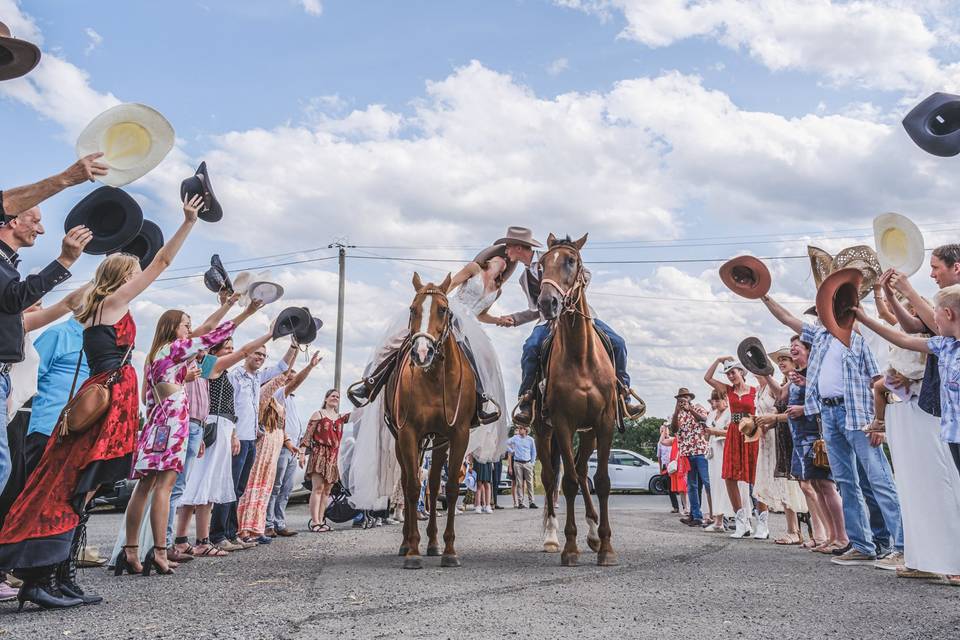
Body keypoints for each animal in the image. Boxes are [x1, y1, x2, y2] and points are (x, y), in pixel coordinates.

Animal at [388, 272, 478, 568]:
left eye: (443, 309)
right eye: (413, 309)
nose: (422, 353)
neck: (434, 378)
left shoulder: (458, 435)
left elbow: (449, 488)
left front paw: (449, 550)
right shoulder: (408, 434)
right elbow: (413, 488)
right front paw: (413, 551)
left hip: (438, 443)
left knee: (434, 485)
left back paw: (434, 544)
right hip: (404, 443)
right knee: (408, 482)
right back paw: (407, 543)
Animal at [536, 234, 620, 564]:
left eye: (571, 261)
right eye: (541, 264)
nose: (547, 303)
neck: (580, 356)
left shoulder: (604, 422)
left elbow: (602, 482)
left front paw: (606, 546)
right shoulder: (562, 423)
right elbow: (567, 483)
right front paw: (570, 548)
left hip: (588, 434)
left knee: (584, 472)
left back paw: (594, 533)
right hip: (542, 432)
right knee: (551, 478)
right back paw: (550, 537)